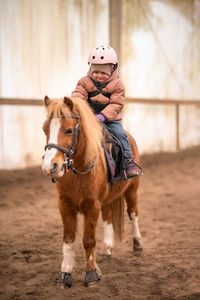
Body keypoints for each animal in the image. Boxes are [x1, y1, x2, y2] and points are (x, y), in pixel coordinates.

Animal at [41, 97, 142, 288]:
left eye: (69, 130)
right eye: (45, 129)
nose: (49, 167)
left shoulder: (92, 205)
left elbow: (88, 240)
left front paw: (92, 274)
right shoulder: (65, 205)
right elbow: (68, 239)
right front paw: (64, 275)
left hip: (132, 188)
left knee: (132, 213)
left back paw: (138, 243)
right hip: (107, 199)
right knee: (108, 216)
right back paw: (109, 247)